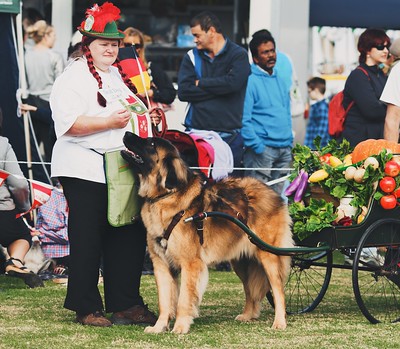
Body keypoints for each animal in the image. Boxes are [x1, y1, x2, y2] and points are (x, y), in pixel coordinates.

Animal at [122, 132, 294, 334]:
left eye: (150, 143)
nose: (126, 133)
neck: (164, 196)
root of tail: (272, 192)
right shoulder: (161, 265)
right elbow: (164, 301)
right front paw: (159, 327)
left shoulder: (190, 264)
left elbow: (183, 300)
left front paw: (180, 327)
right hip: (242, 262)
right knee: (250, 289)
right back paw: (248, 315)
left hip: (268, 256)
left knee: (278, 289)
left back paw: (279, 321)